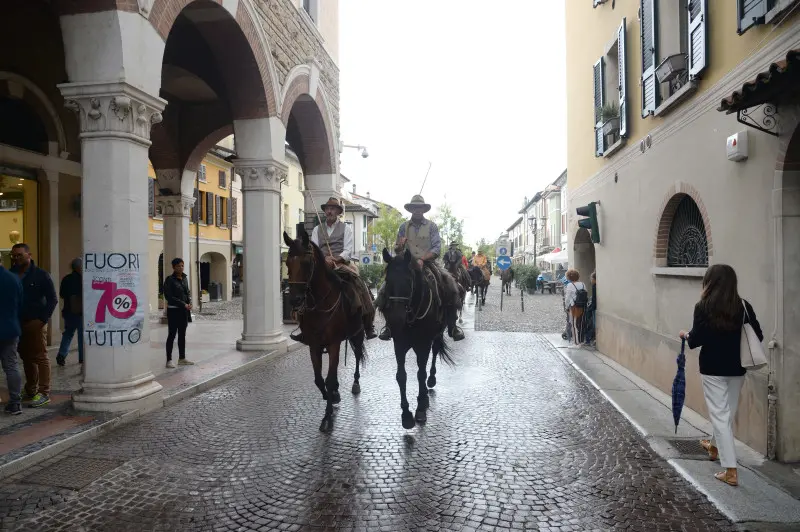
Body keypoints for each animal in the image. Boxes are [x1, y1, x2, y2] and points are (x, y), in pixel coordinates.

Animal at [282, 229, 368, 432]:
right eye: (287, 262)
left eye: (306, 263)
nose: (295, 300)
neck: (321, 303)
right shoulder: (314, 345)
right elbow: (319, 380)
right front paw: (332, 397)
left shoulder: (334, 343)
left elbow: (328, 379)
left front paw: (327, 417)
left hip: (358, 335)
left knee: (357, 354)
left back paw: (355, 383)